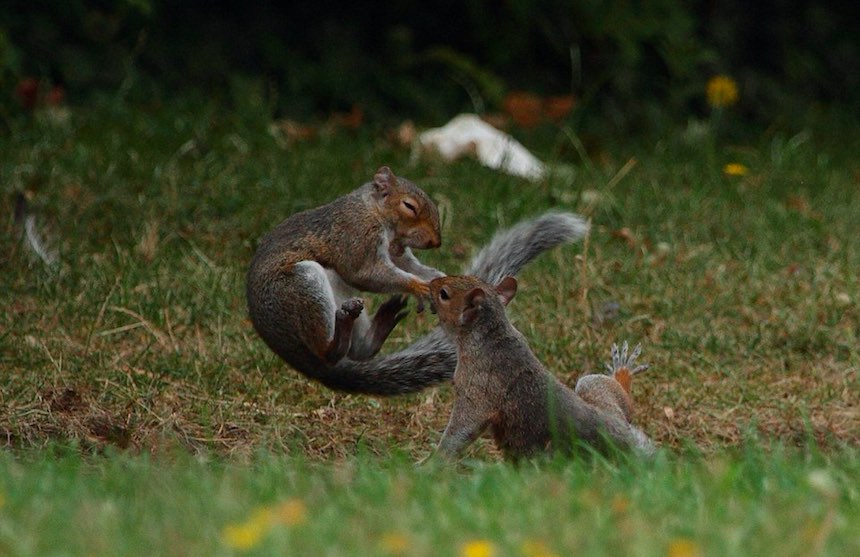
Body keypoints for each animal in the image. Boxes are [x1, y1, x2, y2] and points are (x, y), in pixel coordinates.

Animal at [245, 165, 588, 396]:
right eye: (409, 206)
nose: (437, 242)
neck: (372, 210)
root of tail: (290, 353)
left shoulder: (396, 251)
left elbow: (405, 264)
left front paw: (436, 277)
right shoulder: (356, 238)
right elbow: (367, 272)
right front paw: (421, 287)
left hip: (336, 290)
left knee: (357, 351)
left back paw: (379, 324)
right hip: (300, 287)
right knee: (327, 350)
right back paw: (339, 333)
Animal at [426, 274, 656, 460]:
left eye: (444, 294)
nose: (431, 283)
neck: (492, 336)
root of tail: (623, 439)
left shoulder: (478, 387)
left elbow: (462, 428)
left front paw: (435, 461)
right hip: (594, 389)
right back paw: (622, 374)